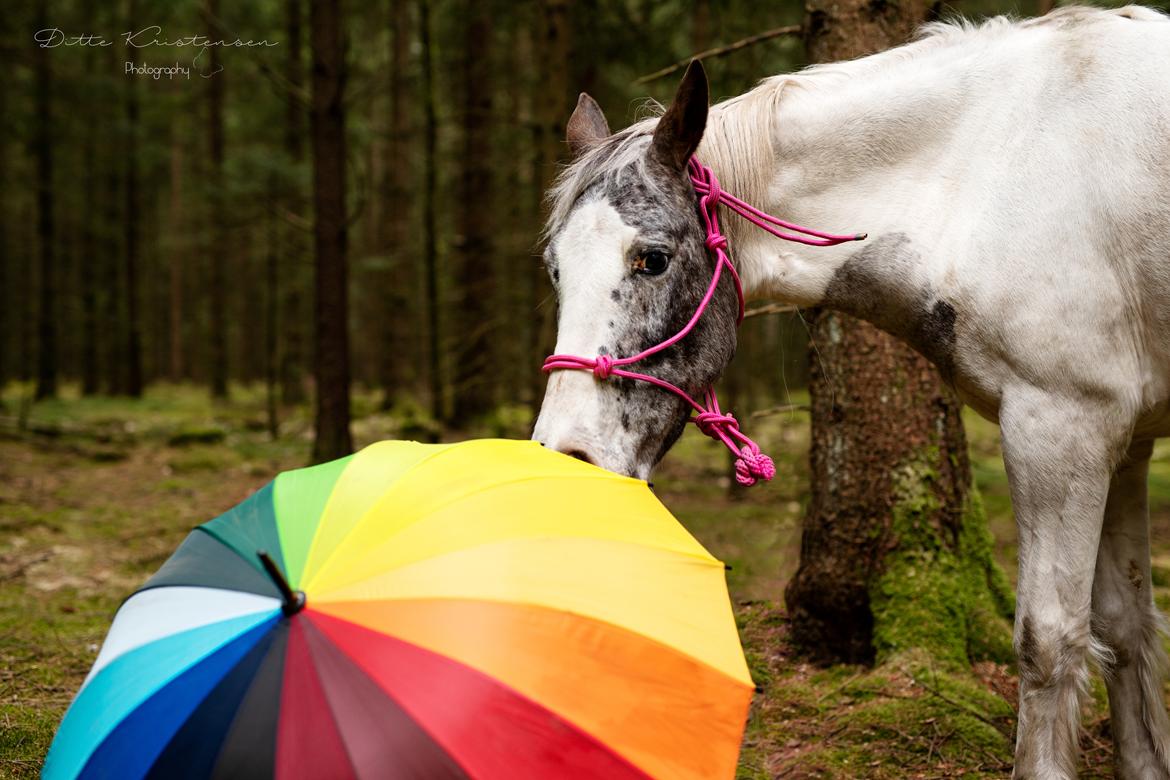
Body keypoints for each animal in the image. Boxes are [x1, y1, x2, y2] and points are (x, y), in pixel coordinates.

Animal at [535, 7, 1170, 780]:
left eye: (651, 260)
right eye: (555, 267)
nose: (566, 457)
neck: (997, 165)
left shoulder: (1061, 428)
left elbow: (1049, 642)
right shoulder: (1124, 442)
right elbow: (1128, 627)